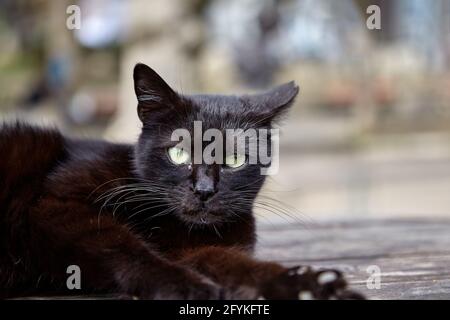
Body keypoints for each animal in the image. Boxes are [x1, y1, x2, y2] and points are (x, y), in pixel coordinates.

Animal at [0, 63, 362, 298]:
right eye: (179, 154)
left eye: (234, 160)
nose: (203, 190)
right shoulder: (55, 204)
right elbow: (126, 248)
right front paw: (187, 287)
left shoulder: (196, 250)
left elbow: (233, 263)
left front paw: (310, 285)